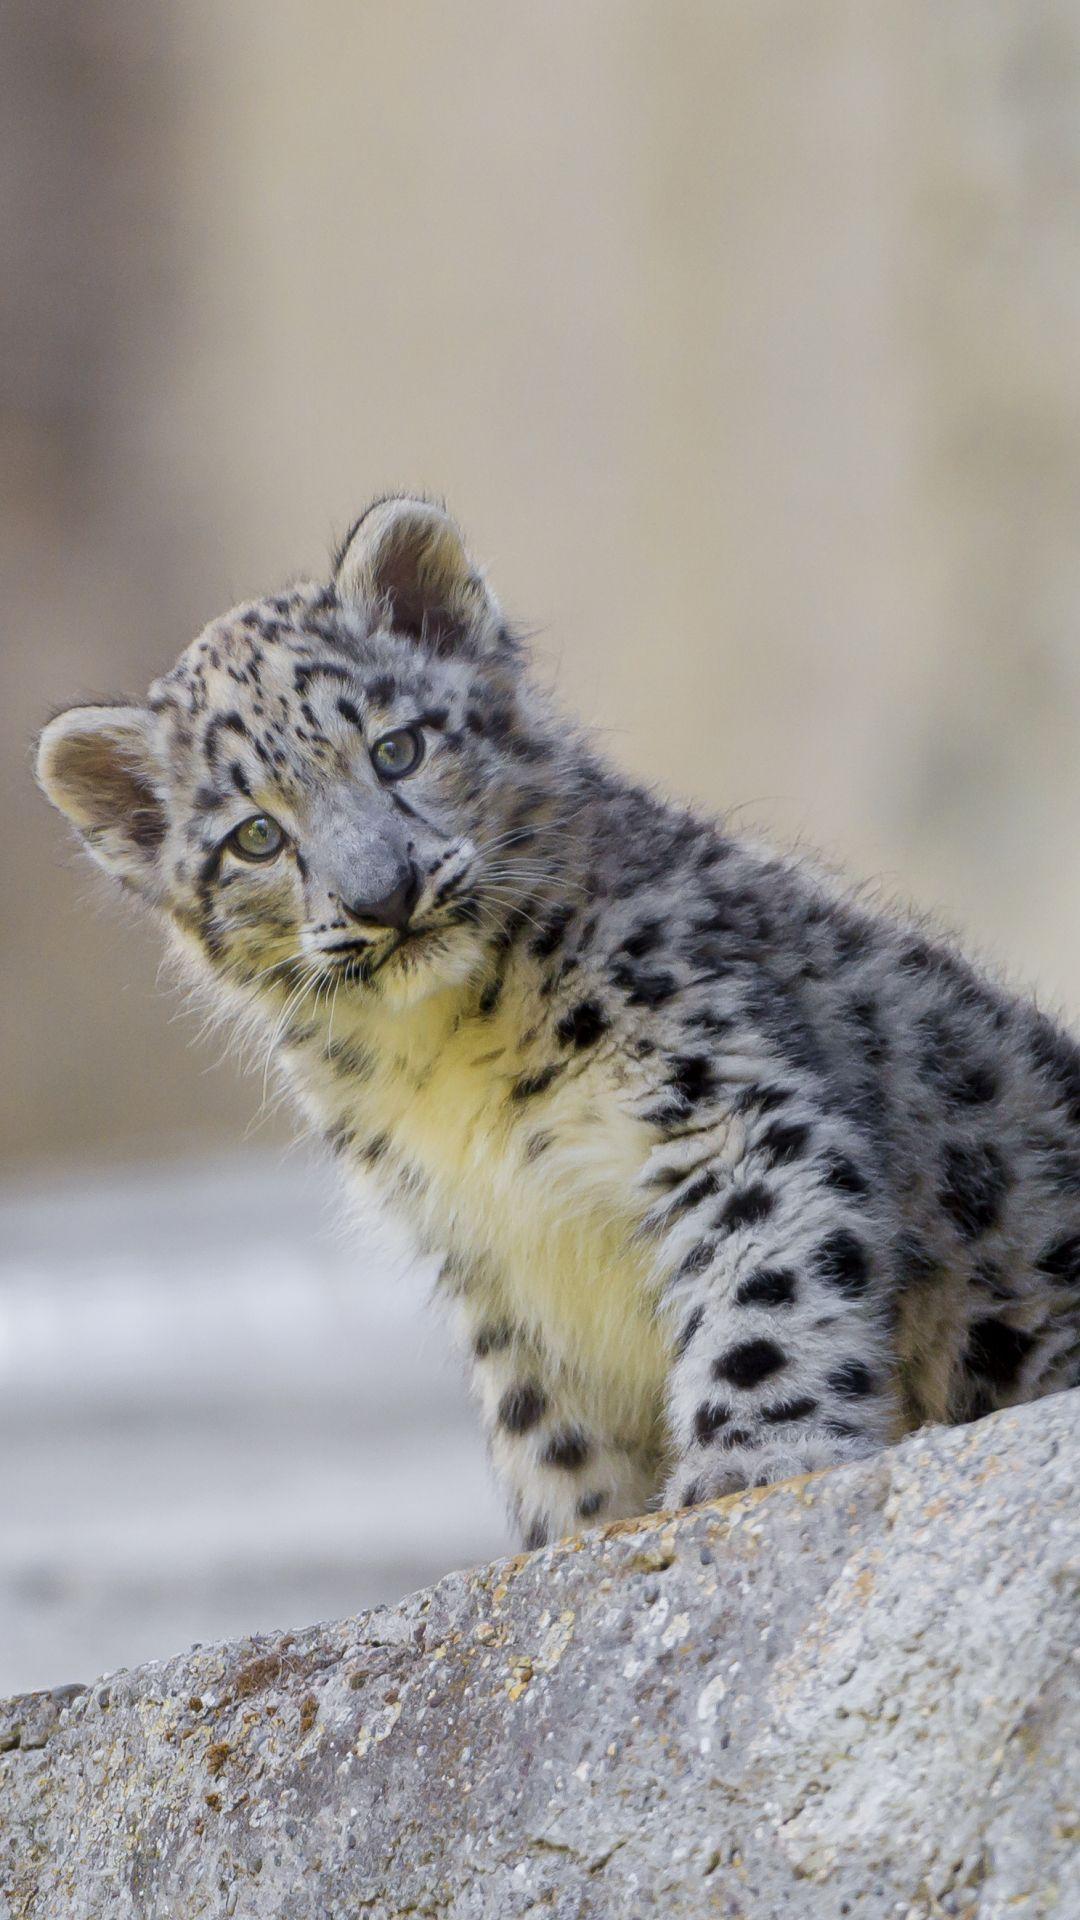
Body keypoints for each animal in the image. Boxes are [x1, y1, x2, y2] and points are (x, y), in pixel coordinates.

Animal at [36, 495, 1080, 1548]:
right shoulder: (493, 1272)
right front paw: (573, 1530)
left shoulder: (724, 1105)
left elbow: (760, 1289)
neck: (445, 1058)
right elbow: (547, 1432)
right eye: (255, 836)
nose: (384, 895)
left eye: (398, 747)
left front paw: (749, 1465)